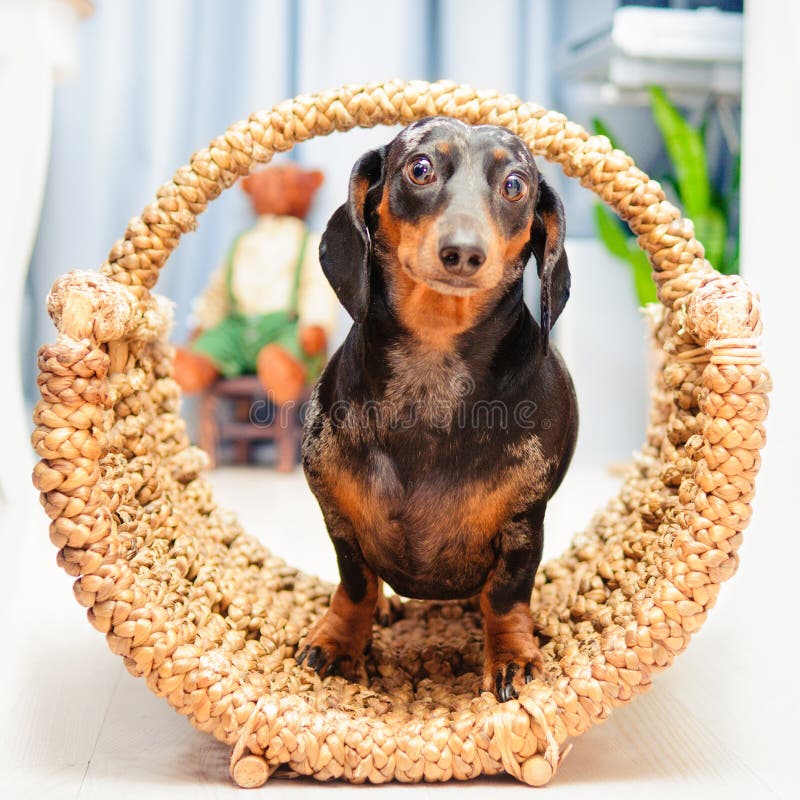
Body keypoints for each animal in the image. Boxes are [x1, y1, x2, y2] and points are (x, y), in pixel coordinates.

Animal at [296, 114, 580, 700]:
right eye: (420, 168)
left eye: (514, 185)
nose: (464, 253)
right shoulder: (338, 519)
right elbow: (355, 586)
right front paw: (339, 642)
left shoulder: (523, 525)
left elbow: (505, 597)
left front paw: (512, 657)